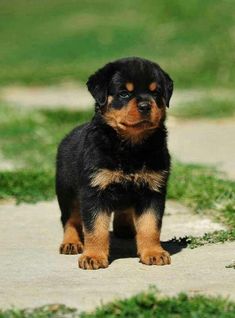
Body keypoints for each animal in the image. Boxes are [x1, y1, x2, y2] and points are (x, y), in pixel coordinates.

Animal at [55, 56, 173, 268]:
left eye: (156, 92)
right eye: (124, 93)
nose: (145, 105)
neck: (130, 147)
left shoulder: (153, 190)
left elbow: (150, 226)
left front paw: (153, 253)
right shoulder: (94, 190)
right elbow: (95, 228)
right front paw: (93, 256)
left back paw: (125, 228)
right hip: (66, 190)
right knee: (70, 219)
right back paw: (71, 243)